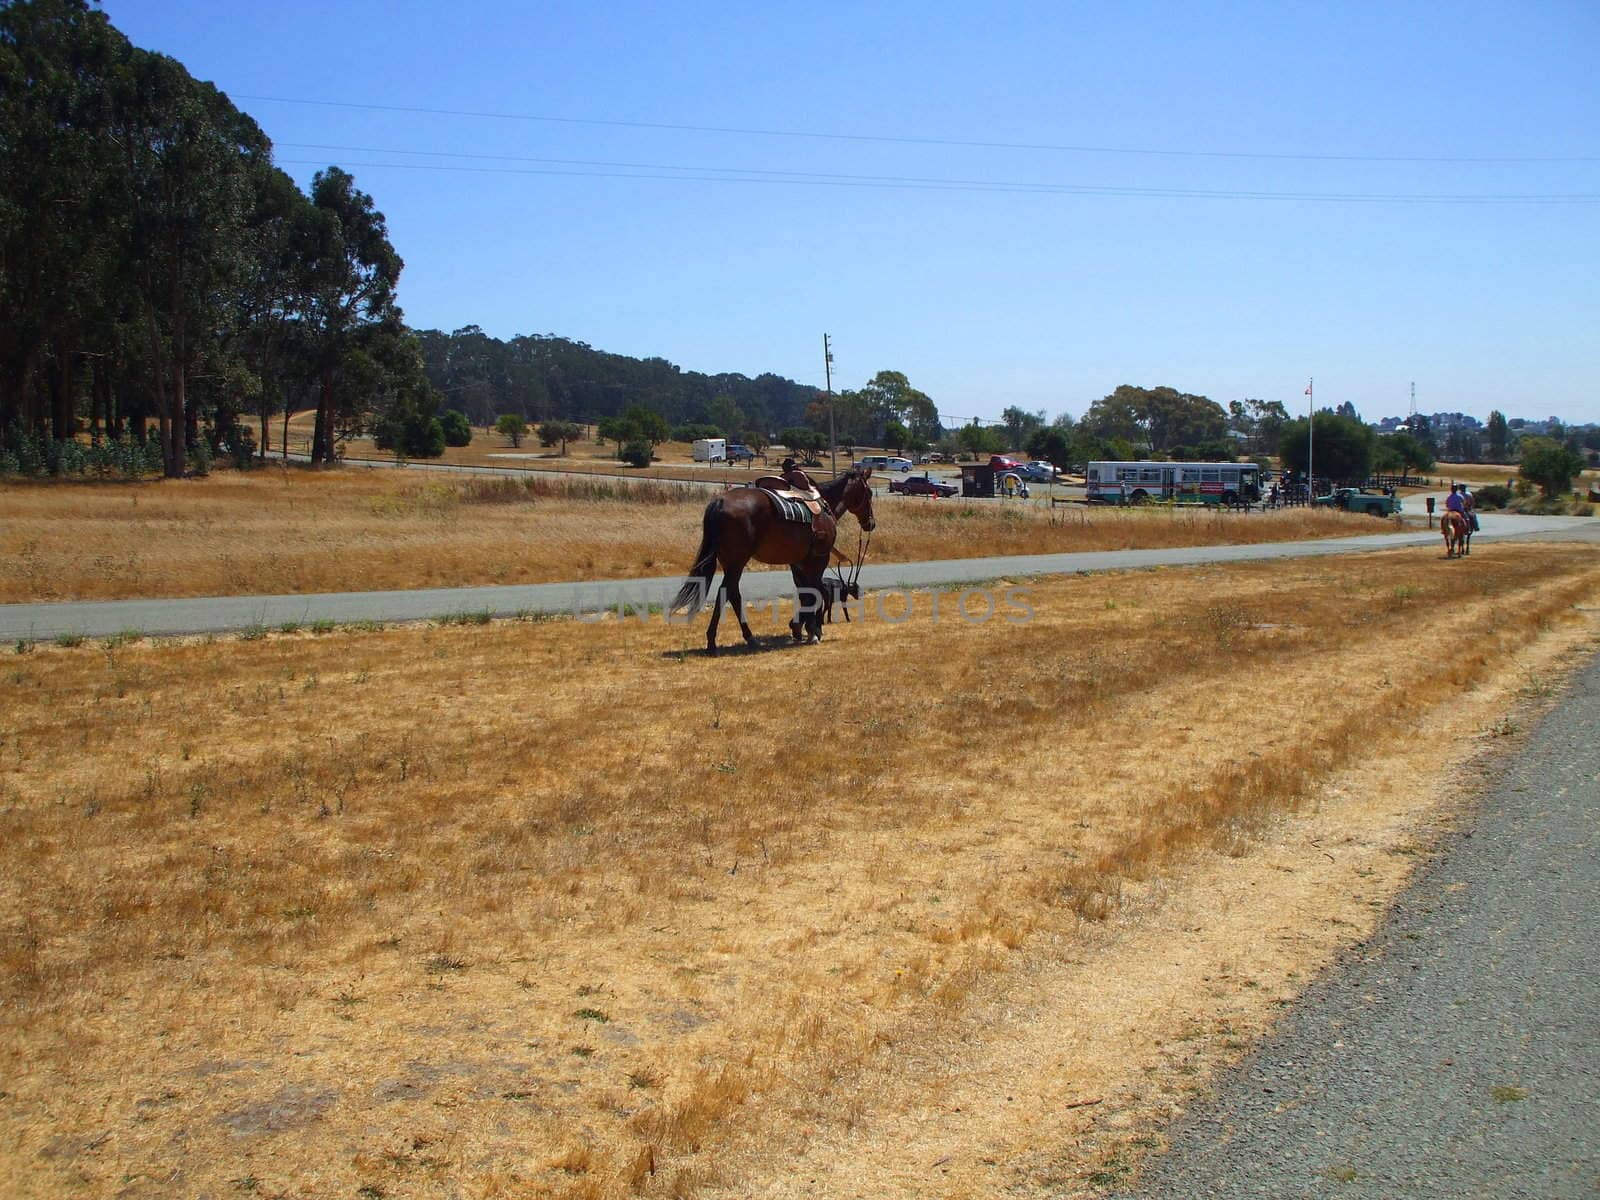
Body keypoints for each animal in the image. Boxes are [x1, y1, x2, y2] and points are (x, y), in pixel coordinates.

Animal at [668, 473, 883, 659]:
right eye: (869, 493)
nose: (871, 523)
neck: (824, 507)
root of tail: (719, 502)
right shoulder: (818, 559)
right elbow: (818, 591)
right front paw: (814, 630)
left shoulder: (798, 563)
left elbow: (806, 593)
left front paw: (800, 627)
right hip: (737, 560)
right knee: (726, 592)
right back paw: (712, 642)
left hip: (729, 561)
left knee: (734, 594)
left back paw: (750, 637)